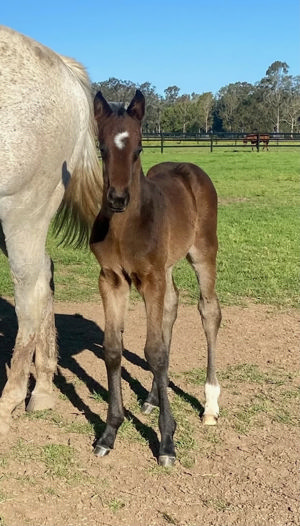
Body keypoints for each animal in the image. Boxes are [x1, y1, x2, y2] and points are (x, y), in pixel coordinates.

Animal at [90, 89, 221, 466]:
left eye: (138, 148)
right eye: (101, 147)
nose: (118, 198)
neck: (125, 227)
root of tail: (189, 168)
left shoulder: (150, 280)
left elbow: (155, 351)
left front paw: (166, 442)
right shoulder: (112, 279)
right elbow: (115, 348)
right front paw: (109, 432)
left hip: (203, 253)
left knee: (209, 311)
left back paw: (210, 404)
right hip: (167, 268)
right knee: (171, 310)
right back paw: (150, 398)